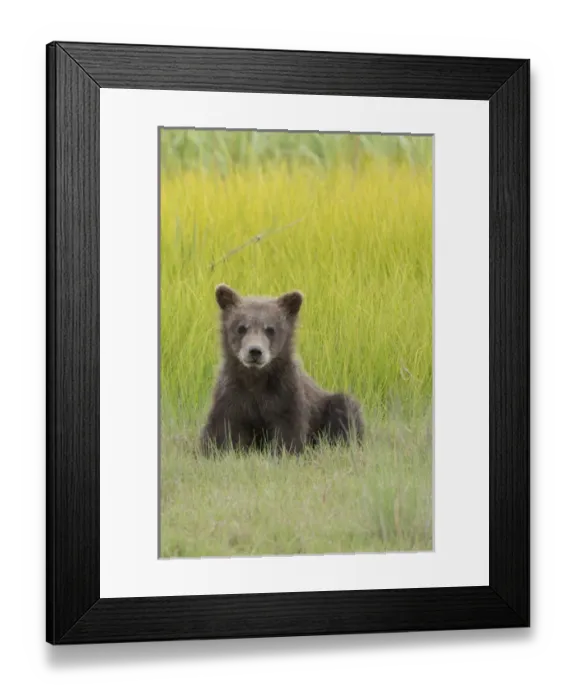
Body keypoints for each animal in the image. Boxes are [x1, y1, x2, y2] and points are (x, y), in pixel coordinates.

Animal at [199, 283, 364, 456]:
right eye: (241, 328)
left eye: (270, 329)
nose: (255, 351)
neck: (256, 379)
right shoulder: (232, 397)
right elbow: (223, 431)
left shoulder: (285, 396)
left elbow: (288, 431)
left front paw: (285, 452)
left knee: (345, 409)